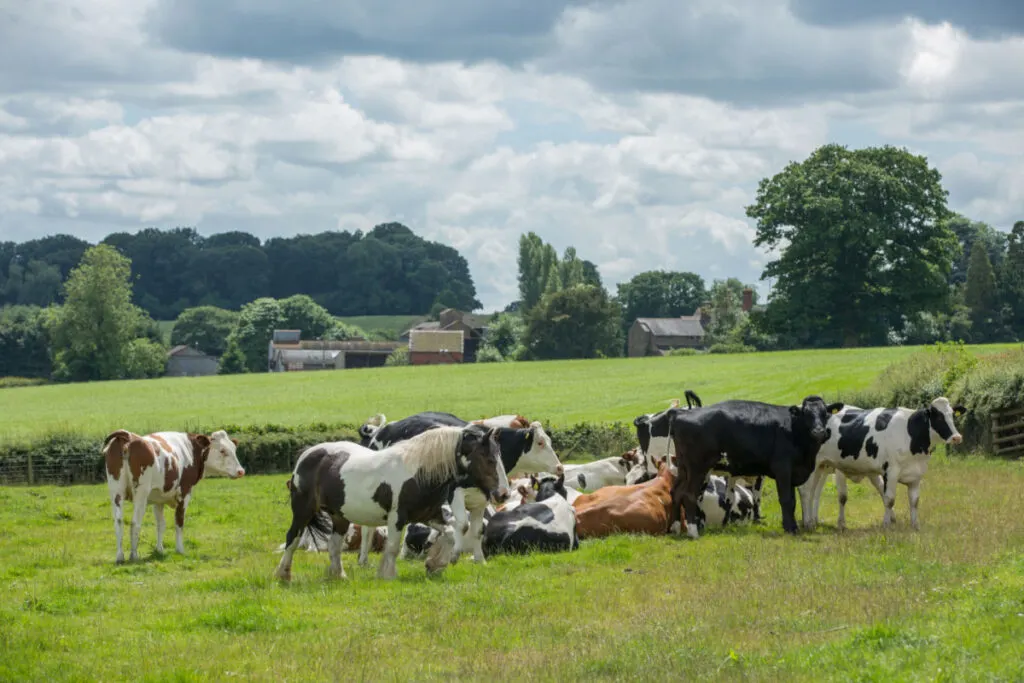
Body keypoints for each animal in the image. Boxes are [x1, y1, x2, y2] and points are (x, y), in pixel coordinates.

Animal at [101, 430, 245, 565]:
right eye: (223, 450)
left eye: (234, 449)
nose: (241, 471)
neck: (191, 450)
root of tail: (128, 436)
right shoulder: (184, 493)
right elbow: (179, 522)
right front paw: (180, 550)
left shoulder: (158, 499)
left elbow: (161, 524)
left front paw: (159, 550)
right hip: (141, 493)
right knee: (135, 523)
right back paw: (134, 556)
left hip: (116, 491)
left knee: (118, 522)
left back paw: (120, 556)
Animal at [667, 395, 843, 540]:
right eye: (806, 414)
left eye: (825, 414)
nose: (819, 432)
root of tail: (681, 414)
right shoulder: (783, 469)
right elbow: (787, 500)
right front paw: (790, 529)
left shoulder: (792, 473)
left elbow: (792, 501)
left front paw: (791, 526)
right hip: (697, 468)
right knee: (689, 495)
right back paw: (693, 532)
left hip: (683, 468)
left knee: (676, 492)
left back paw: (675, 528)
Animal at [798, 395, 958, 532]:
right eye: (938, 416)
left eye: (952, 415)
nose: (957, 437)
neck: (909, 432)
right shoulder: (891, 471)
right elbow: (889, 500)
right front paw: (886, 525)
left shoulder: (916, 475)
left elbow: (914, 501)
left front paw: (915, 526)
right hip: (812, 465)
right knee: (805, 491)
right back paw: (808, 524)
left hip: (820, 466)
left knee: (813, 492)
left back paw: (811, 521)